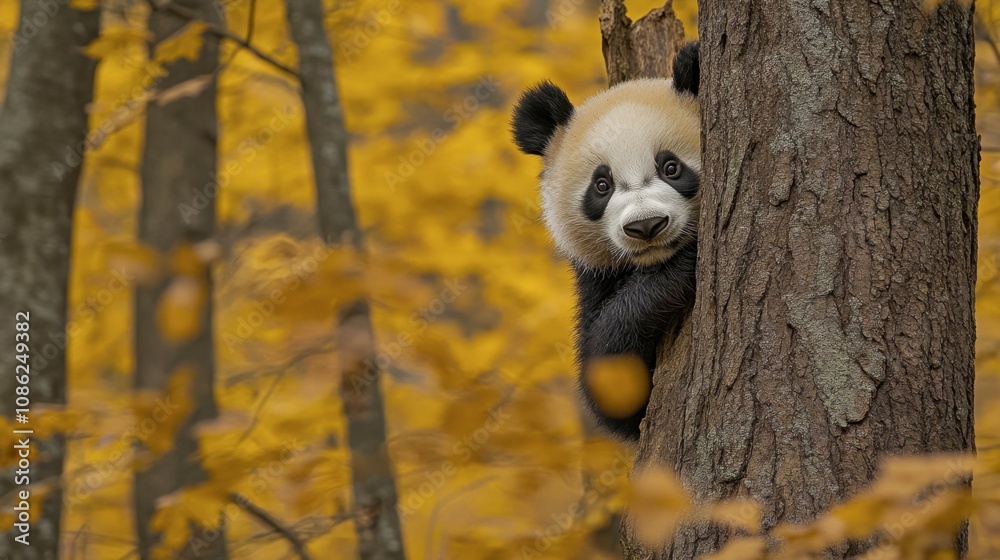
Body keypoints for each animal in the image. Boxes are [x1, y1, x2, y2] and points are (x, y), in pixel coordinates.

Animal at [511, 42, 700, 441]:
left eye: (671, 167)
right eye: (602, 185)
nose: (646, 226)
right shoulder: (593, 279)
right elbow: (612, 386)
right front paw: (681, 269)